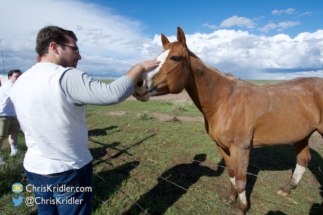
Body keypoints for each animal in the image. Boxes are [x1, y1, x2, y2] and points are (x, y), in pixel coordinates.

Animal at [134, 27, 323, 215]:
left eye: (174, 57)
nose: (138, 84)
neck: (225, 101)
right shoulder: (223, 147)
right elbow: (232, 174)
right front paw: (231, 199)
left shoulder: (241, 149)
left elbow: (241, 179)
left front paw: (242, 208)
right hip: (301, 135)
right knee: (303, 158)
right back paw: (287, 188)